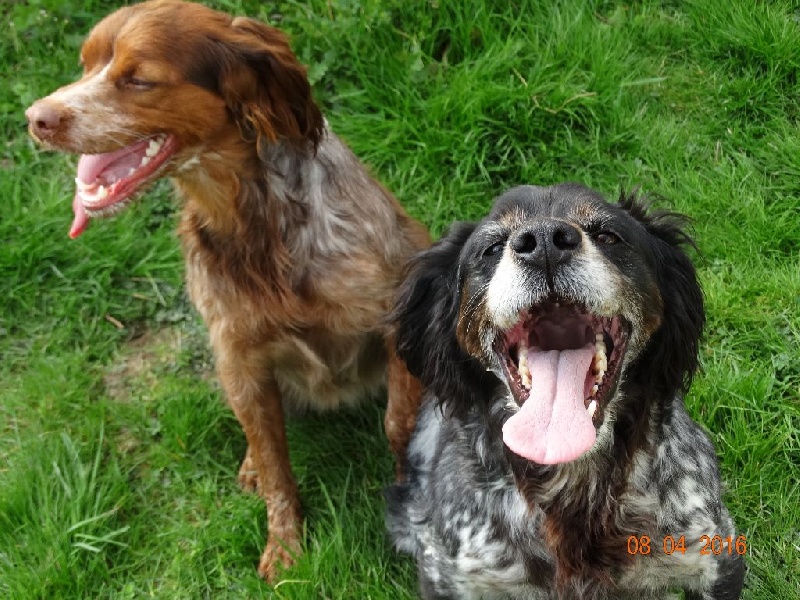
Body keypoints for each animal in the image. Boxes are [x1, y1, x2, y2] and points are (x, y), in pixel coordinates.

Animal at [25, 0, 429, 580]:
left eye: (139, 79)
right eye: (84, 66)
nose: (36, 118)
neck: (254, 222)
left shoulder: (396, 317)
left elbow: (399, 422)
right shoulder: (238, 357)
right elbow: (275, 462)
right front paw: (285, 547)